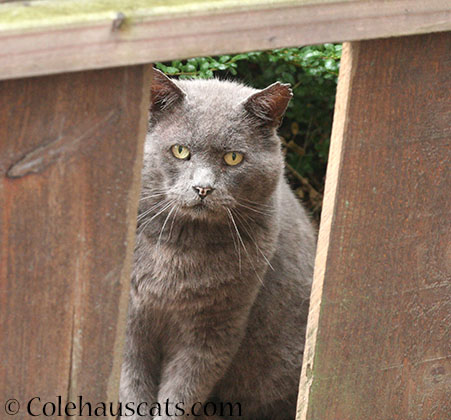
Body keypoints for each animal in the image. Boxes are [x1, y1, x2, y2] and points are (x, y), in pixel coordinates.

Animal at [120, 69, 318, 420]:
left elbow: (182, 392)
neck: (178, 250)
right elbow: (132, 389)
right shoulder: (132, 322)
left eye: (233, 157)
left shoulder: (214, 330)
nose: (203, 188)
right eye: (180, 151)